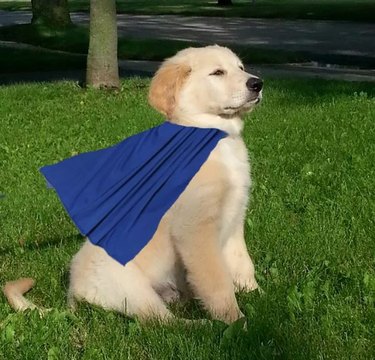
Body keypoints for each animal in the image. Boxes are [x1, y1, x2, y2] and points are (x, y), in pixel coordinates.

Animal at [2, 45, 262, 324]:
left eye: (241, 68)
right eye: (217, 72)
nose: (258, 83)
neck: (217, 138)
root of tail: (71, 295)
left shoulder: (235, 218)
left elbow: (242, 262)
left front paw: (258, 294)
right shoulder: (196, 230)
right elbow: (216, 281)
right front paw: (237, 323)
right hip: (134, 290)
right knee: (163, 322)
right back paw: (202, 325)